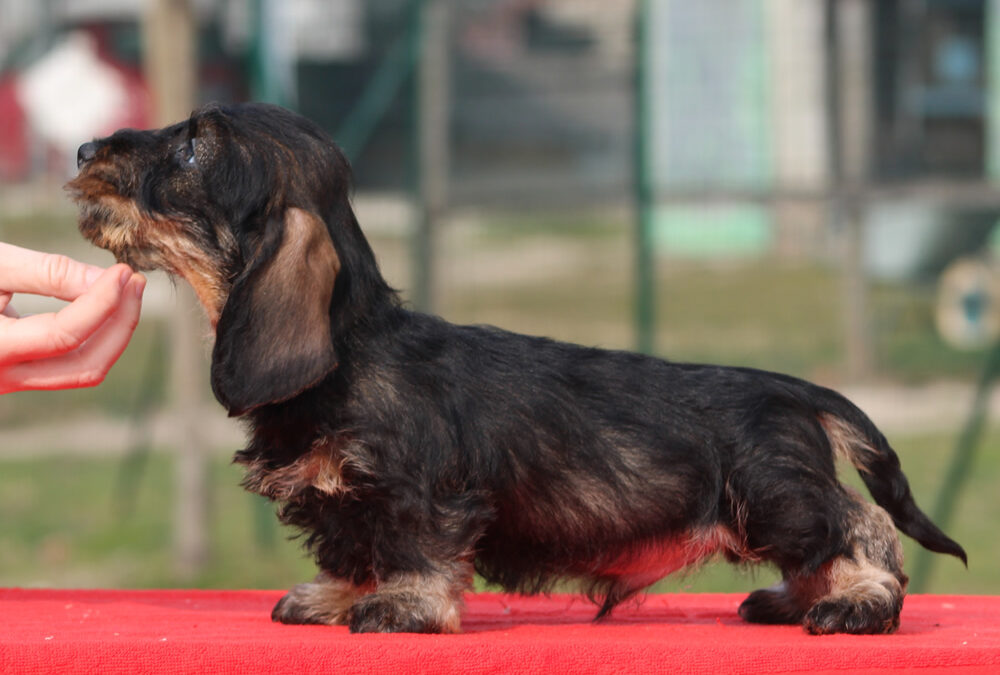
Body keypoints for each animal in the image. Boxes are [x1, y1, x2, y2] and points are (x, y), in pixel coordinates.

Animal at [66, 103, 964, 636]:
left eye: (191, 147)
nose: (81, 146)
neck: (350, 353)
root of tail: (795, 389)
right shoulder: (343, 502)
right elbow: (353, 547)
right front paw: (337, 595)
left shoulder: (418, 492)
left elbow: (414, 547)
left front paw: (403, 606)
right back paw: (791, 598)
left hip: (774, 496)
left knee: (862, 526)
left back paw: (855, 600)